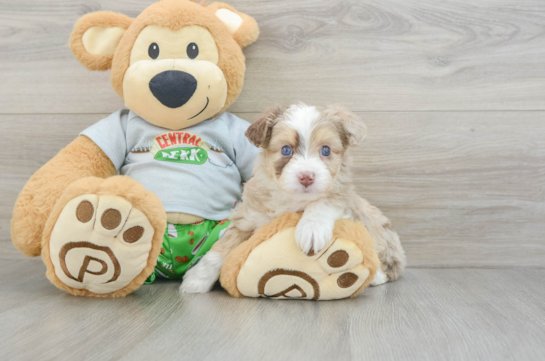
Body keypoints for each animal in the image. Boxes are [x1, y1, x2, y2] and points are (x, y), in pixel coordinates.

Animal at [181, 102, 406, 292]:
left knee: (389, 265)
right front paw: (197, 279)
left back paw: (376, 276)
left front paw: (311, 229)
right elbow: (222, 247)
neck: (293, 200)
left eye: (326, 150)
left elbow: (325, 202)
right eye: (286, 150)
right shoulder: (247, 217)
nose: (307, 176)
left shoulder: (344, 198)